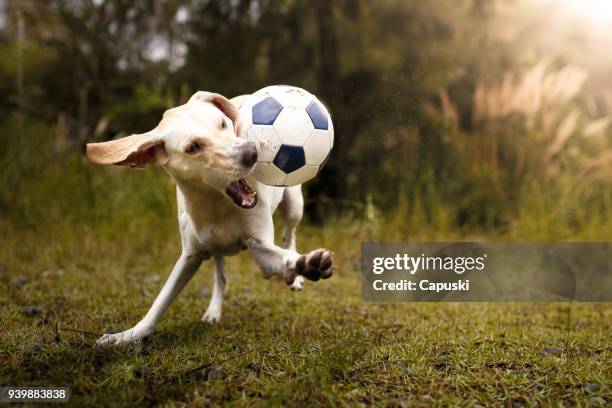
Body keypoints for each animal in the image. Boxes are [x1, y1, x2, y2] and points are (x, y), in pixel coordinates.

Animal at [86, 91, 332, 348]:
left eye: (223, 123)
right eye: (193, 147)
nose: (251, 152)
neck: (216, 203)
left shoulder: (260, 248)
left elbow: (282, 258)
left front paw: (306, 265)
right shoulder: (190, 255)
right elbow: (160, 302)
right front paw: (126, 336)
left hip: (294, 203)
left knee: (289, 233)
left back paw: (295, 275)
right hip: (216, 246)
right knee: (220, 273)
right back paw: (214, 310)